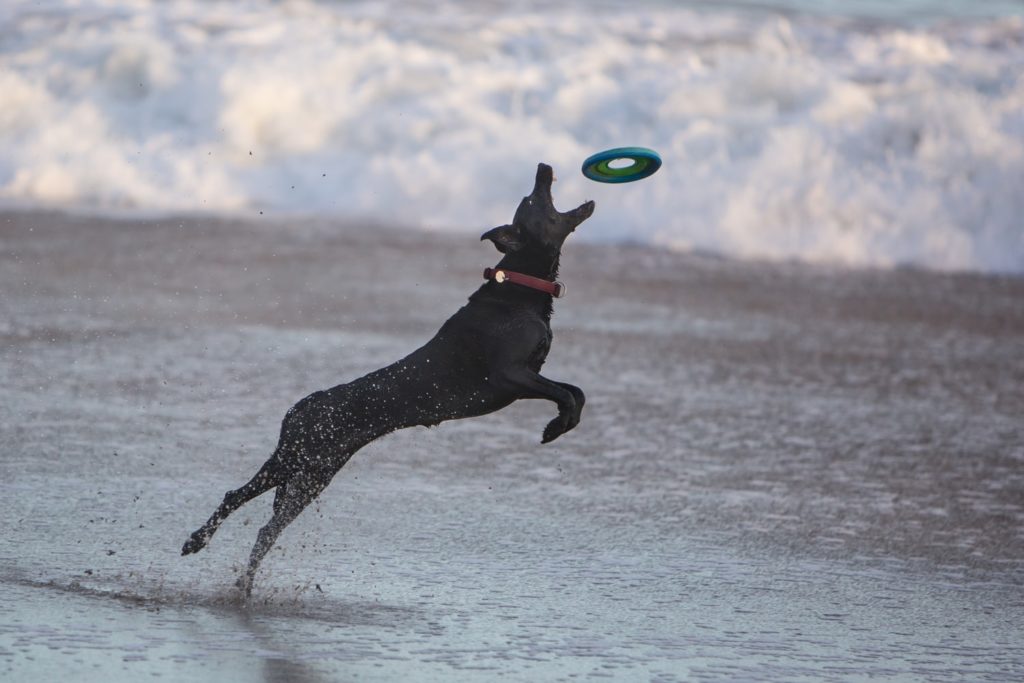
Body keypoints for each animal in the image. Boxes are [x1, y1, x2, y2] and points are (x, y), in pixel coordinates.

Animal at [180, 162, 589, 593]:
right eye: (533, 200)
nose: (543, 167)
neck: (519, 288)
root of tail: (300, 406)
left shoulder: (529, 375)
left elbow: (576, 391)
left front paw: (561, 424)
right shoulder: (509, 376)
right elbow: (565, 393)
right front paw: (556, 426)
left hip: (315, 473)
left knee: (267, 530)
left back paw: (244, 583)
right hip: (294, 458)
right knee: (235, 495)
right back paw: (197, 541)